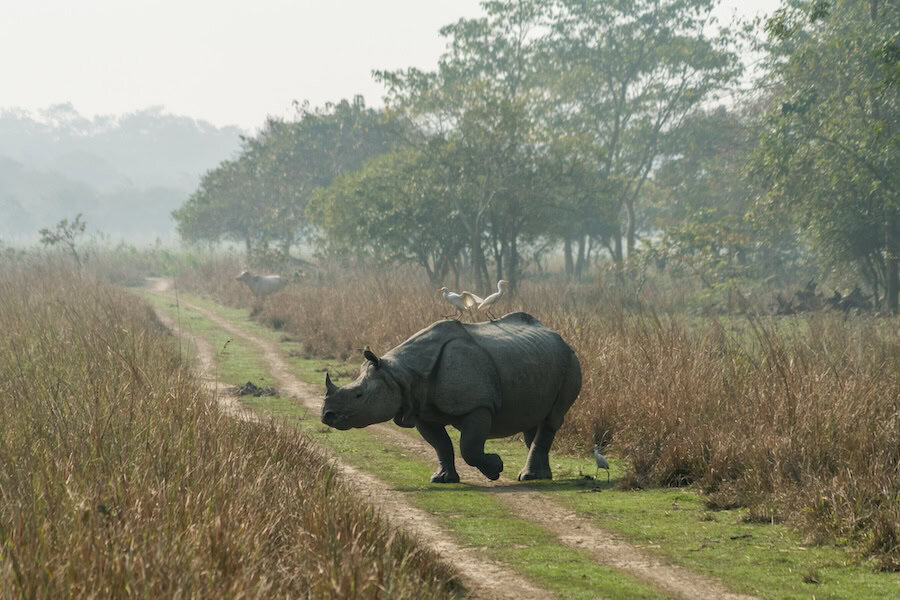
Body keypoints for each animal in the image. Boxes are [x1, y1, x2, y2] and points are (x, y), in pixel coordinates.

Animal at [321, 312, 581, 483]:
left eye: (358, 395)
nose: (326, 415)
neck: (400, 374)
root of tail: (560, 336)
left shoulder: (478, 405)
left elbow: (469, 448)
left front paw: (495, 468)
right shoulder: (421, 410)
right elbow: (441, 444)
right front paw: (443, 478)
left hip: (570, 360)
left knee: (552, 418)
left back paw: (529, 477)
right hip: (538, 359)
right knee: (534, 421)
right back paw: (540, 476)